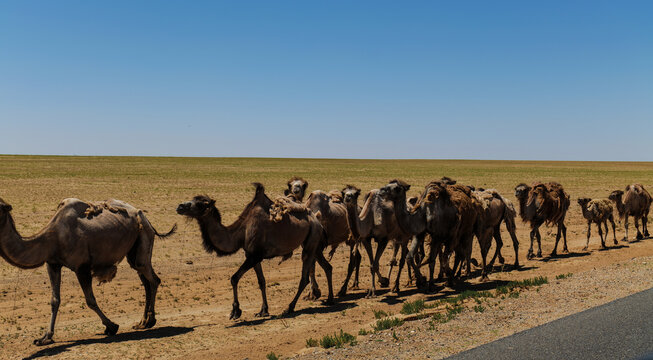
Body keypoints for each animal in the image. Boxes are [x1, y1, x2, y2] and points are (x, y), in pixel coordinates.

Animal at [0, 197, 176, 346]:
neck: (53, 237)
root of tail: (145, 217)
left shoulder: (82, 267)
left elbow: (90, 300)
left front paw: (112, 326)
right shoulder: (53, 264)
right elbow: (55, 300)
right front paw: (45, 337)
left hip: (143, 236)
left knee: (152, 279)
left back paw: (149, 321)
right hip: (133, 250)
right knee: (145, 281)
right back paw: (142, 323)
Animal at [174, 184, 332, 320]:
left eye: (200, 204)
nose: (179, 206)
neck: (241, 232)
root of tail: (317, 220)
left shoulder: (254, 255)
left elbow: (234, 278)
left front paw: (235, 311)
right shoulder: (252, 256)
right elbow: (261, 281)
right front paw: (263, 311)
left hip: (311, 242)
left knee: (304, 277)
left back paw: (289, 307)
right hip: (314, 243)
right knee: (327, 266)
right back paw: (330, 299)